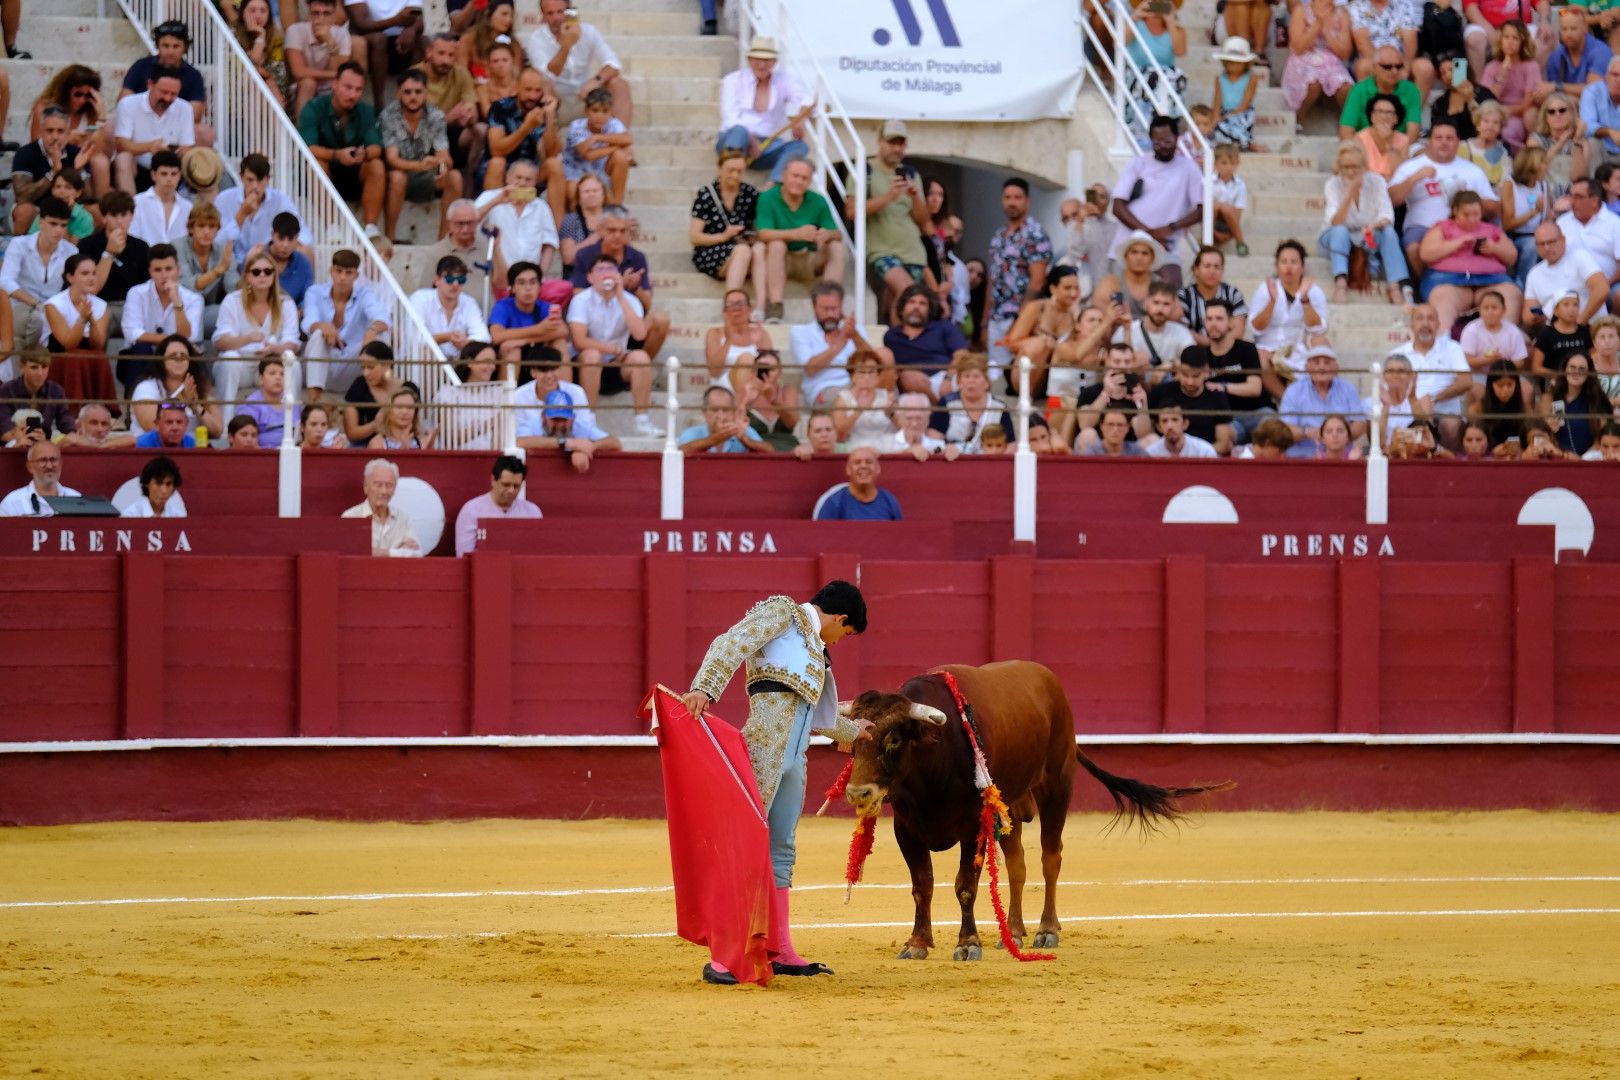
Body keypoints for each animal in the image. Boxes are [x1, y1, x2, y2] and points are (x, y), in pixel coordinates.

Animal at [848, 660, 1224, 965]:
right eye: (852, 741)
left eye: (894, 739)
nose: (858, 792)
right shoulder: (906, 828)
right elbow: (922, 885)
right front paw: (917, 943)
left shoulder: (973, 825)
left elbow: (965, 885)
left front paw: (968, 944)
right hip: (1011, 807)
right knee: (1017, 864)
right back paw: (1013, 932)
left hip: (1057, 787)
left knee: (1050, 858)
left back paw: (1047, 930)